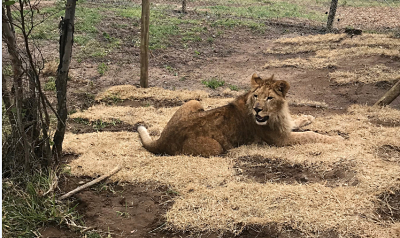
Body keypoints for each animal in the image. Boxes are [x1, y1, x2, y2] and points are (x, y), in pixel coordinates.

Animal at [138, 73, 340, 157]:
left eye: (269, 98)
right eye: (256, 96)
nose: (258, 109)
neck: (275, 114)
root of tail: (162, 140)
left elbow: (297, 122)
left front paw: (308, 118)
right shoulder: (280, 140)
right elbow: (310, 135)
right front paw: (336, 140)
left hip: (195, 102)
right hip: (215, 148)